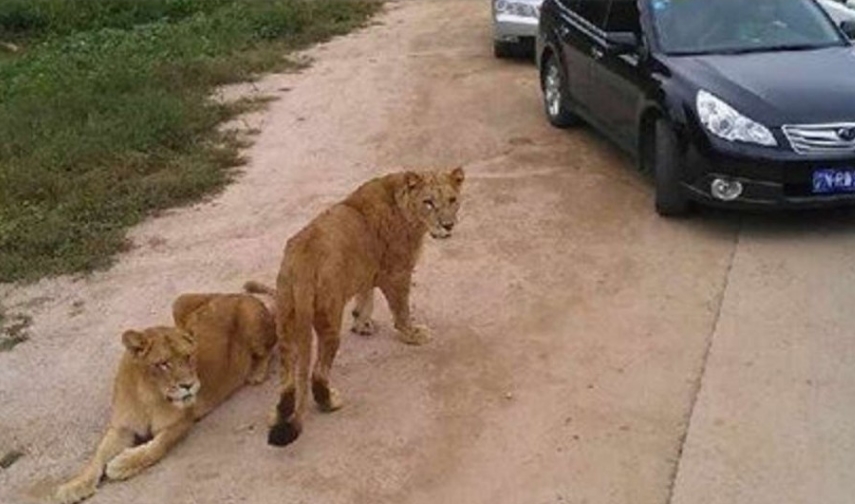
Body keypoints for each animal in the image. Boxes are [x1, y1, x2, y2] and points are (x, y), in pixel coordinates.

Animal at [54, 290, 274, 502]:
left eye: (188, 356)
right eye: (164, 364)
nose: (189, 385)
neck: (147, 395)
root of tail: (238, 294)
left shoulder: (181, 422)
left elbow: (157, 447)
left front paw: (121, 464)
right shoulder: (122, 427)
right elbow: (97, 457)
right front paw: (73, 486)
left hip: (252, 322)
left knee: (270, 347)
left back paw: (256, 373)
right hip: (179, 302)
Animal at [254, 167, 464, 446]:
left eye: (452, 200)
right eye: (428, 202)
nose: (448, 225)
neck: (405, 206)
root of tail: (302, 264)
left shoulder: (366, 268)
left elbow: (365, 297)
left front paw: (362, 323)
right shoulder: (396, 273)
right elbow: (401, 310)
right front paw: (412, 334)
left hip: (287, 319)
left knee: (288, 382)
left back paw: (279, 415)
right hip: (329, 321)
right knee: (317, 374)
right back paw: (330, 403)